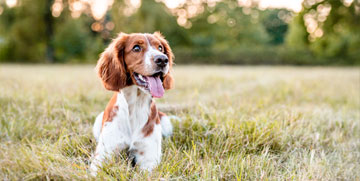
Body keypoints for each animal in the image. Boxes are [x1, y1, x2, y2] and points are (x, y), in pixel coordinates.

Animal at [89, 32, 174, 175]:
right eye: (136, 48)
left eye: (160, 48)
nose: (162, 60)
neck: (135, 106)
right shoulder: (103, 155)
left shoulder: (149, 158)